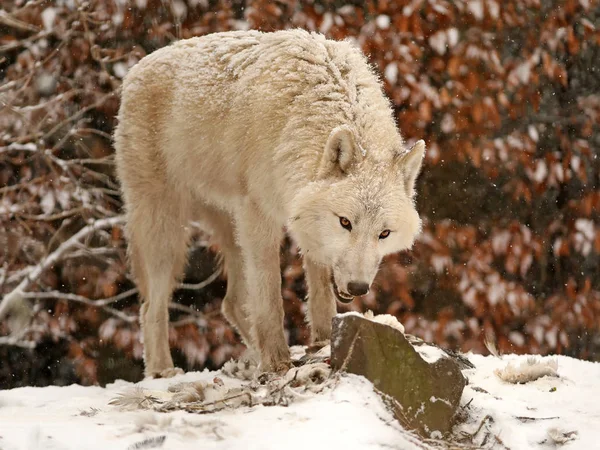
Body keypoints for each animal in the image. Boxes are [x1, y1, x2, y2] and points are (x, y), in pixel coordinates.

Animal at [115, 29, 424, 378]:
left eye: (384, 234)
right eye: (345, 222)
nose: (358, 288)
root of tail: (135, 70)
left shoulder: (304, 218)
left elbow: (319, 290)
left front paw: (322, 341)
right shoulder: (260, 214)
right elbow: (270, 295)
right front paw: (277, 361)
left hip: (230, 227)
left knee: (232, 302)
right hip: (167, 231)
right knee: (150, 307)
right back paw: (163, 371)